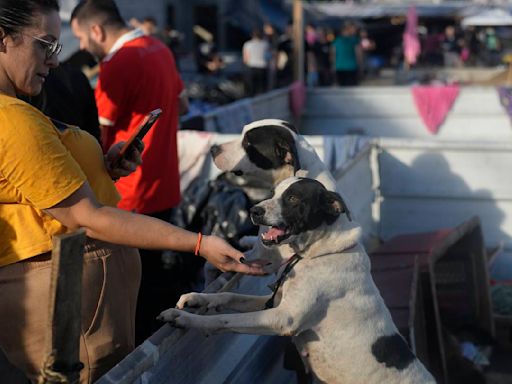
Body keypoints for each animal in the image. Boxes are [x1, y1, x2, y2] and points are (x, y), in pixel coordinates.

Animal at [159, 178, 432, 384]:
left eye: (292, 198)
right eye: (272, 193)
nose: (254, 211)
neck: (317, 252)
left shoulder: (283, 318)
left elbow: (225, 320)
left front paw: (185, 319)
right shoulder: (275, 301)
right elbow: (229, 296)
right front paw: (198, 299)